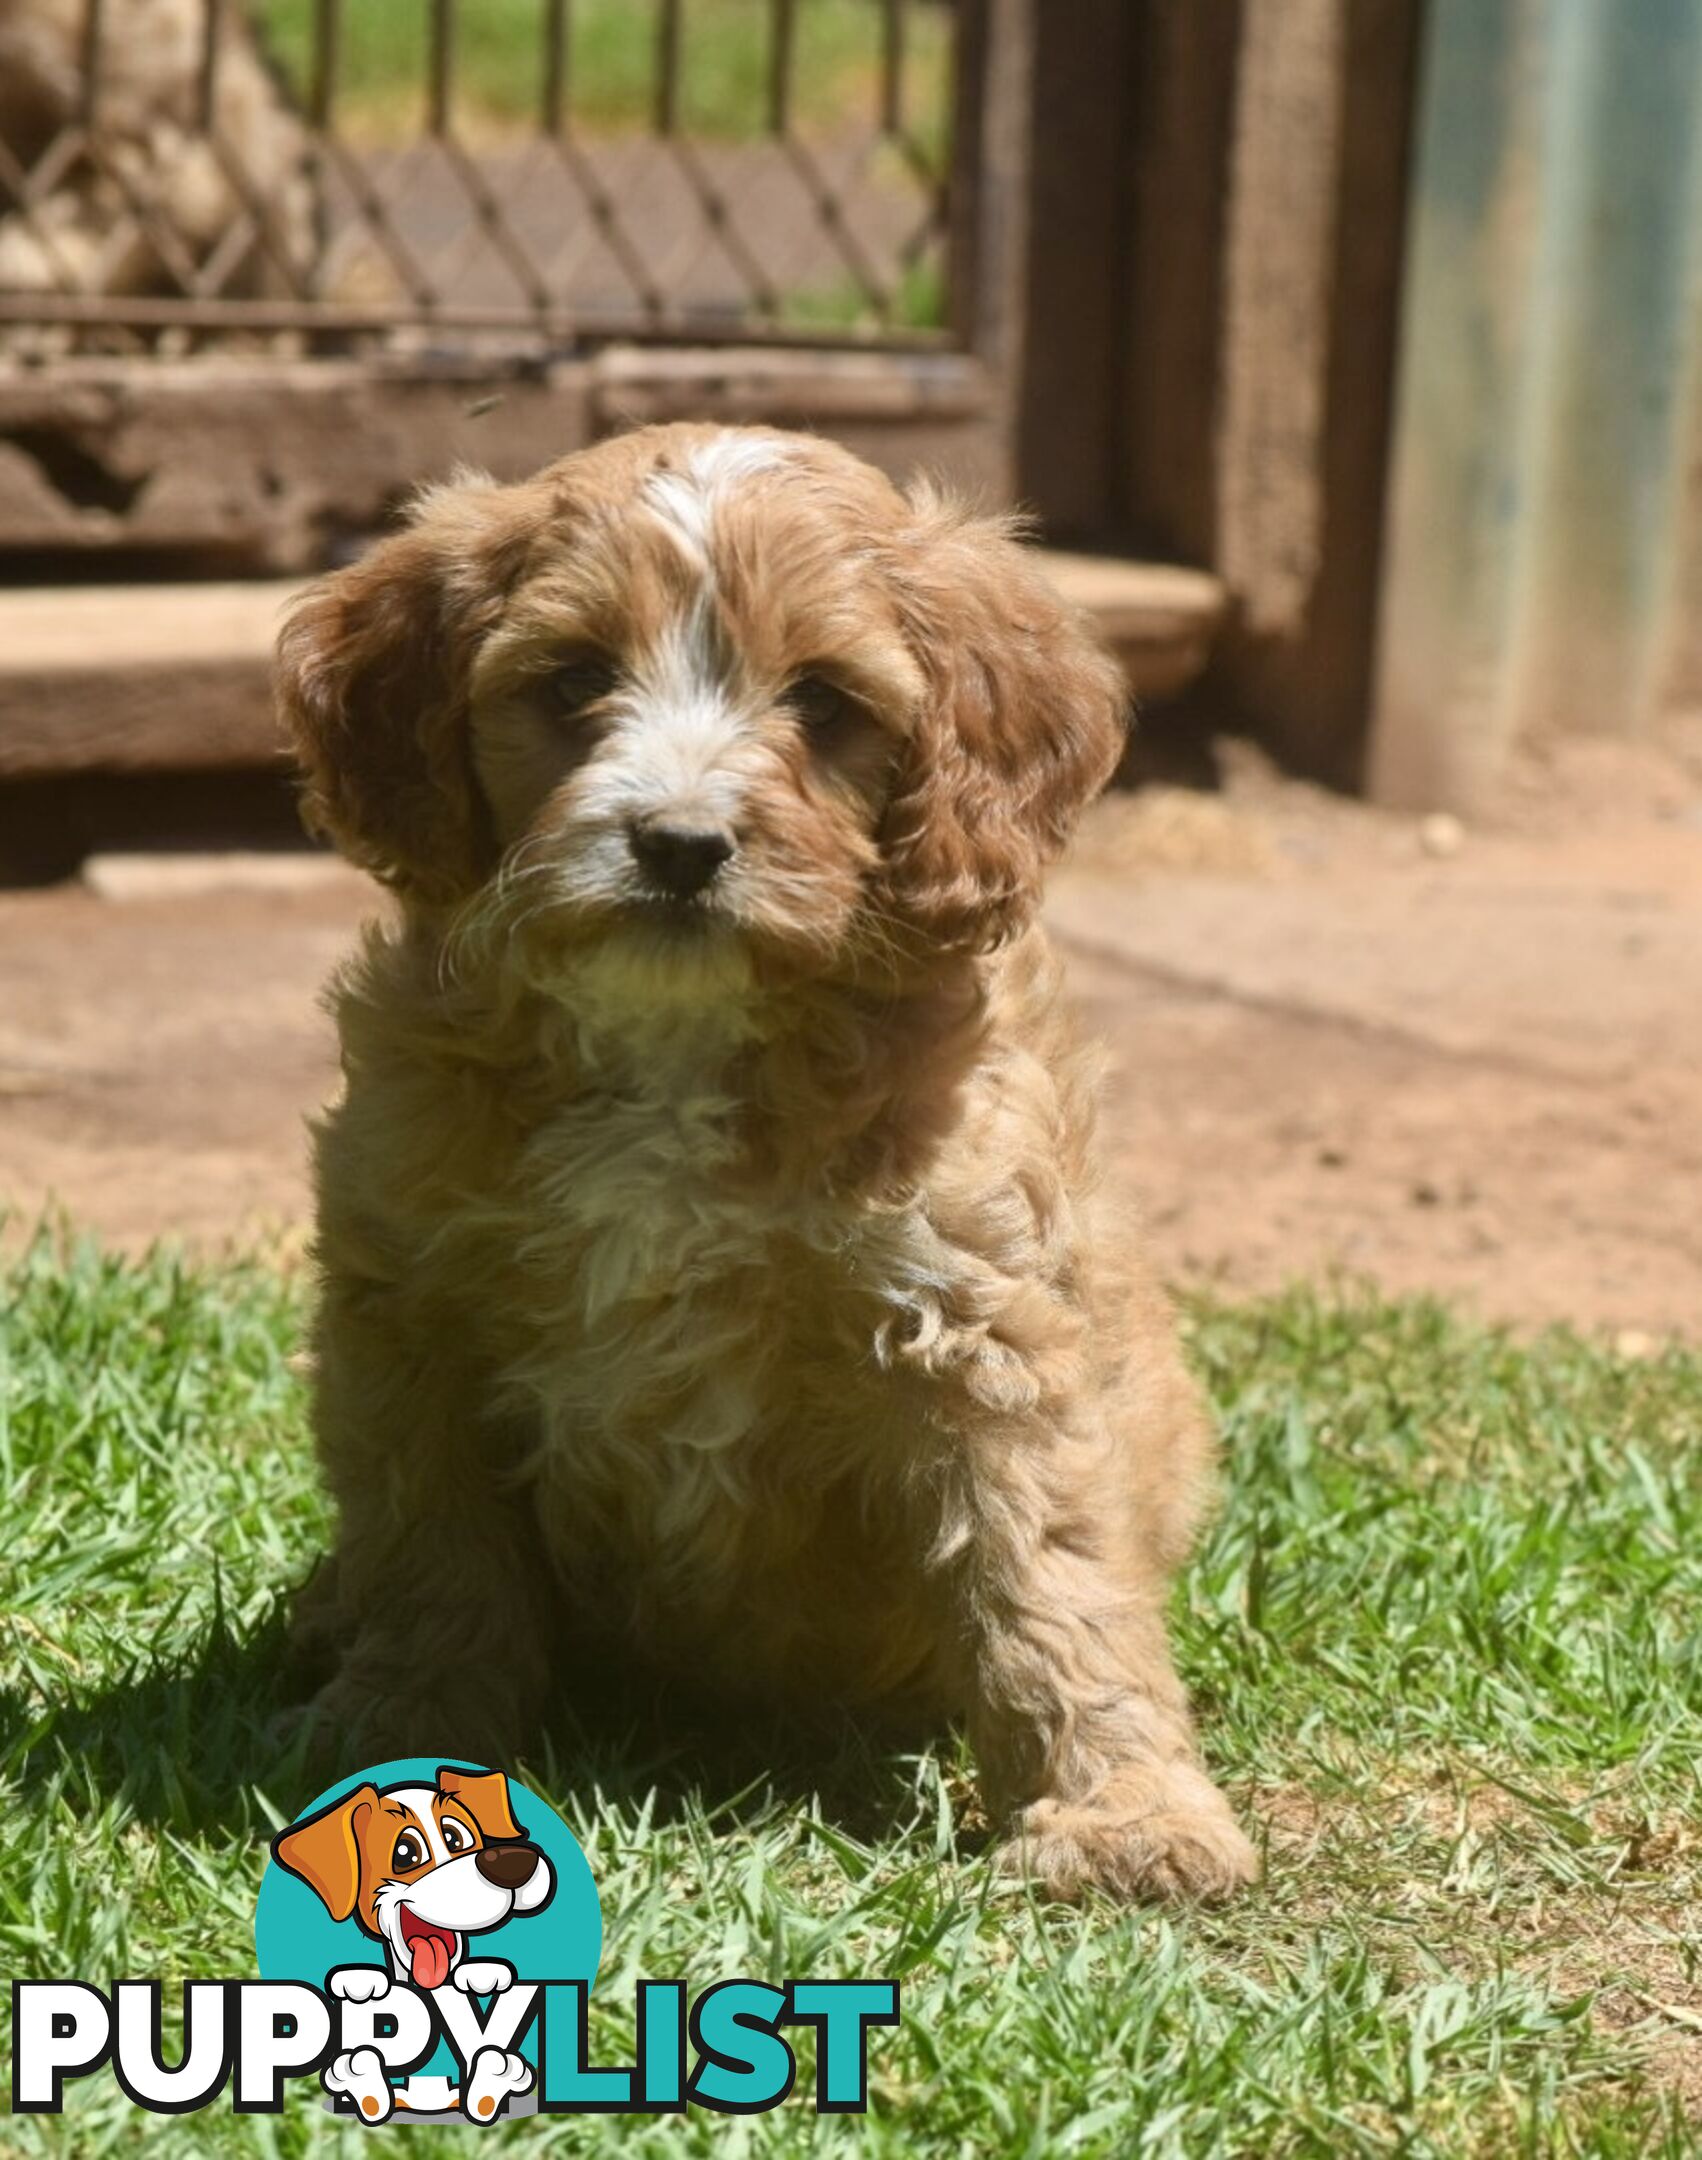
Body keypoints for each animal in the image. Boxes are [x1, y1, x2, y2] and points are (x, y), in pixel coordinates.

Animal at [278, 425, 1252, 1909]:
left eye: (825, 702)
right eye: (571, 682)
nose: (678, 846)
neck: (675, 1032)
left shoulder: (981, 1320)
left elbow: (1048, 1570)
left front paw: (1122, 1816)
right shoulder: (408, 1306)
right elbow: (428, 1547)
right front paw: (397, 1729)